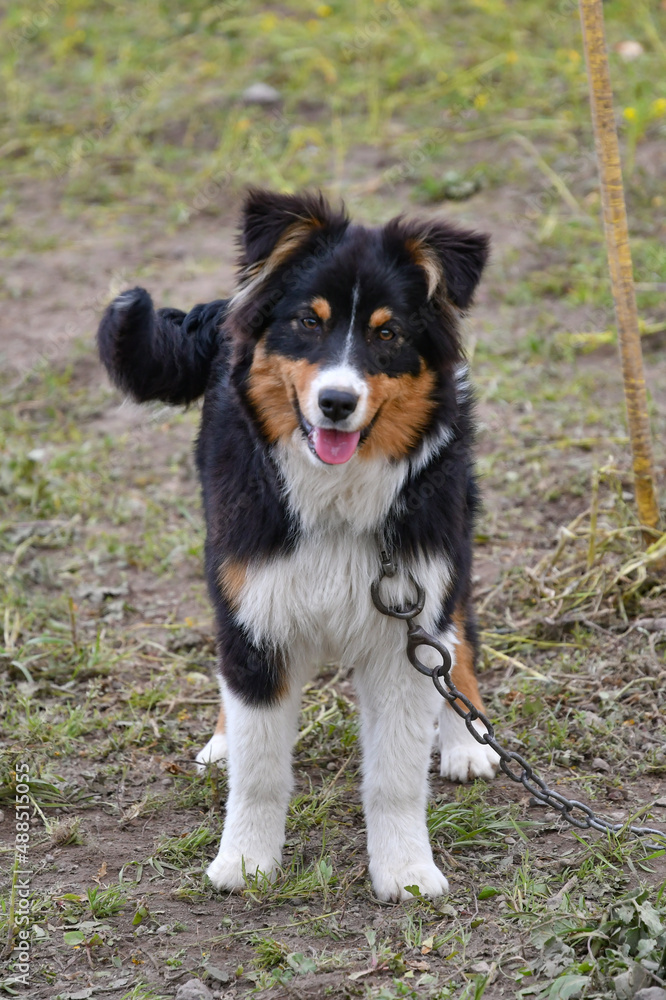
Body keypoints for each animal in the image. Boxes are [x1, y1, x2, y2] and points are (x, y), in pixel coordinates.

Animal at [96, 191, 496, 904]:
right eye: (308, 323)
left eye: (388, 334)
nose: (337, 401)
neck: (334, 500)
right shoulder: (256, 612)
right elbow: (259, 770)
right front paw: (245, 863)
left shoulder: (409, 612)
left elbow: (396, 775)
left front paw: (405, 872)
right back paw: (224, 740)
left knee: (459, 635)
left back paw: (464, 740)